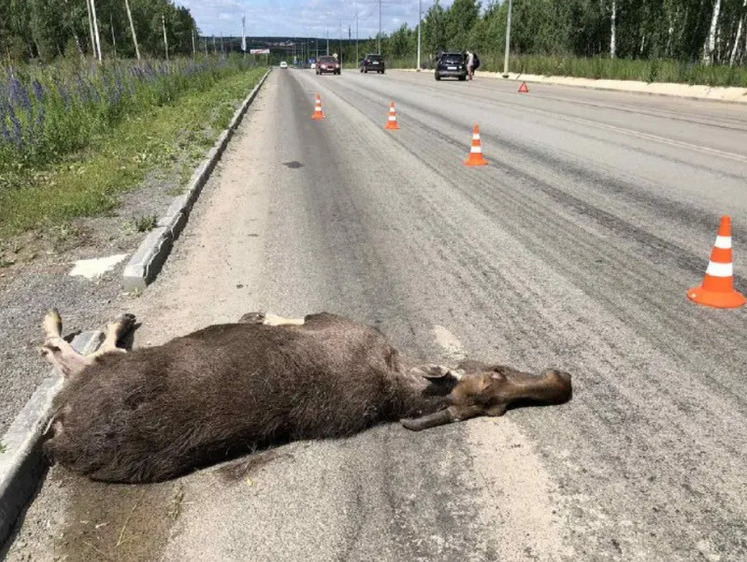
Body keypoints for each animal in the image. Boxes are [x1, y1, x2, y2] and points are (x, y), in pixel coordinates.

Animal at [39, 306, 572, 482]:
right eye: (498, 376)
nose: (561, 380)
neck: (393, 386)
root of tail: (60, 433)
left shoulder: (326, 319)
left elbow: (279, 316)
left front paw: (257, 315)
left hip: (104, 371)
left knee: (76, 354)